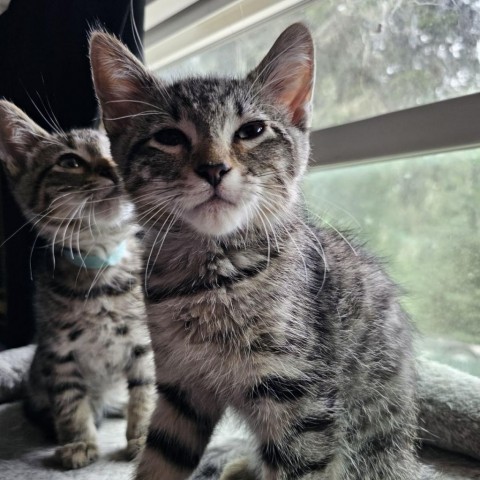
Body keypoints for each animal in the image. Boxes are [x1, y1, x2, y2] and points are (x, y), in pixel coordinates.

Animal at [0, 100, 156, 468]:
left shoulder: (143, 342)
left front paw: (141, 435)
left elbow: (145, 390)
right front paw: (78, 442)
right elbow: (70, 401)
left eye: (116, 151)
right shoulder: (59, 351)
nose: (113, 169)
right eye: (69, 162)